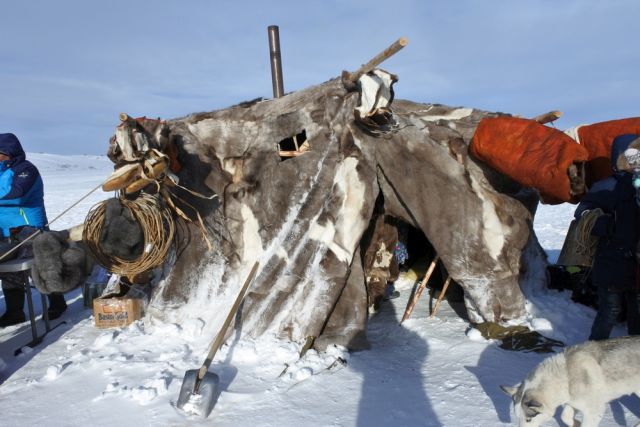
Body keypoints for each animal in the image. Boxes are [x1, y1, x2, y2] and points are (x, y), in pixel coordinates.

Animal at [502, 338, 640, 427]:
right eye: (518, 418)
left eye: (529, 420)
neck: (566, 376)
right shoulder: (572, 403)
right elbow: (565, 417)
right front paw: (576, 424)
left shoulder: (594, 411)